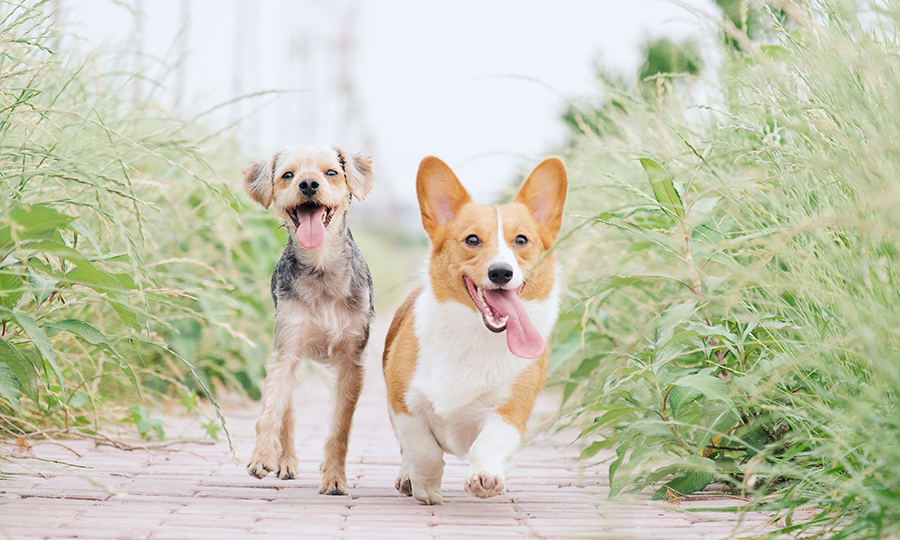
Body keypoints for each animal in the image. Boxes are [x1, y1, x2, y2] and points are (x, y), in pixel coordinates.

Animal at [241, 144, 374, 498]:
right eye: (288, 175)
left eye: (331, 172)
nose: (309, 184)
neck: (321, 266)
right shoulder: (286, 349)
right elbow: (271, 410)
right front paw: (262, 456)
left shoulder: (352, 363)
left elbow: (340, 427)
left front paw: (334, 478)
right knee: (286, 409)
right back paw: (284, 461)